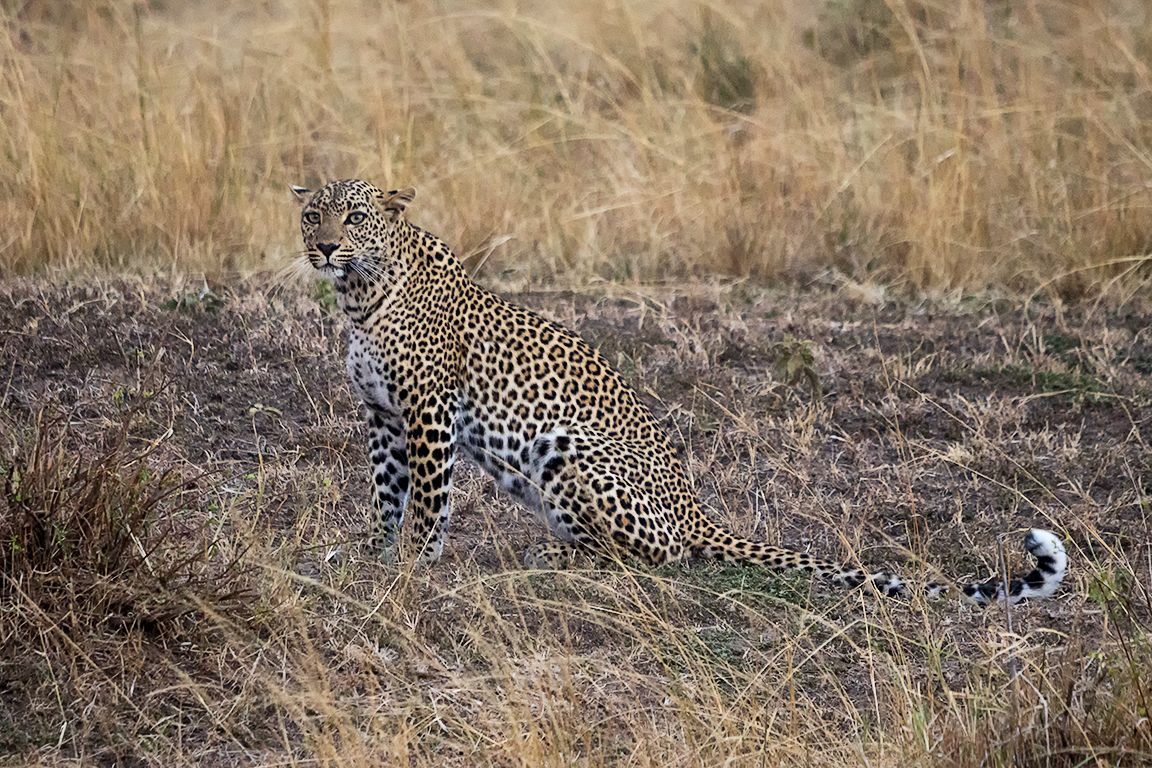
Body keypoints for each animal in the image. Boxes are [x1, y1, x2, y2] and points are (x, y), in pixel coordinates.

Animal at [291, 178, 1068, 606]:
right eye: (311, 215)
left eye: (354, 216)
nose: (323, 248)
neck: (360, 295)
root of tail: (695, 511)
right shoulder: (382, 417)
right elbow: (385, 493)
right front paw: (373, 554)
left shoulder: (427, 411)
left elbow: (427, 497)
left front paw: (414, 565)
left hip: (568, 446)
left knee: (650, 559)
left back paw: (552, 558)